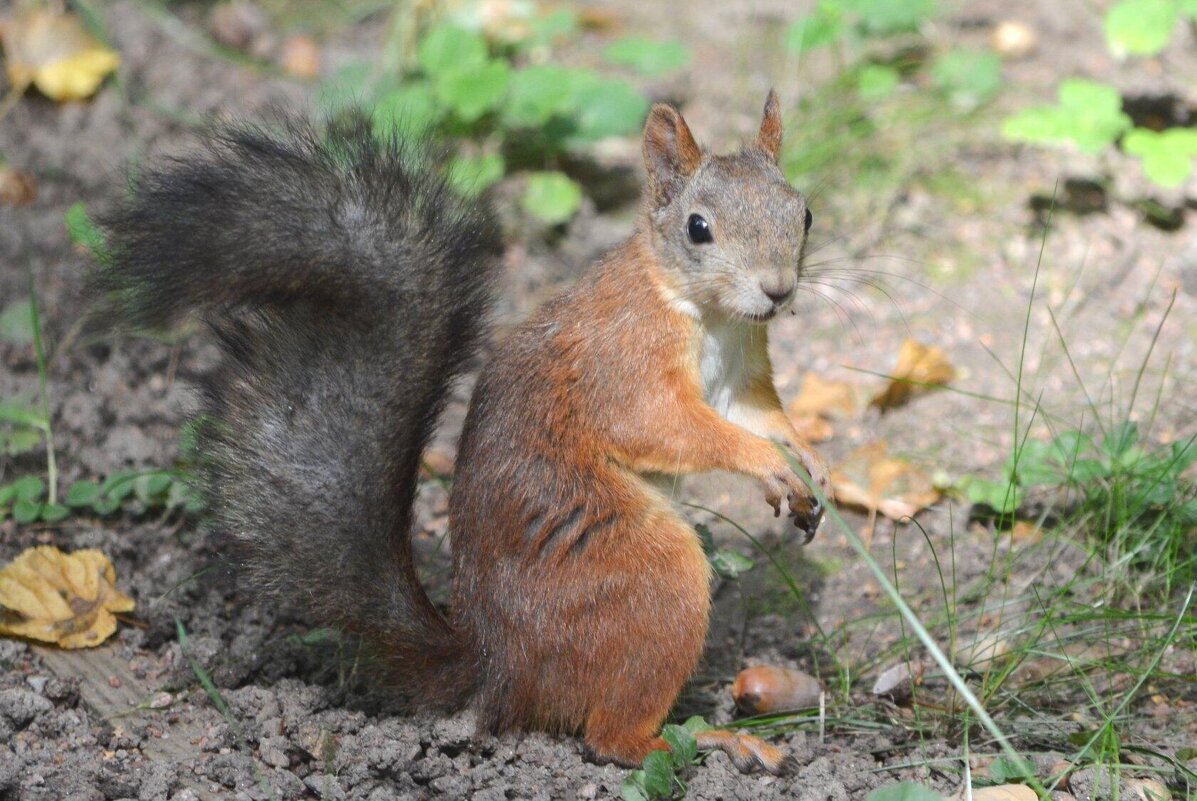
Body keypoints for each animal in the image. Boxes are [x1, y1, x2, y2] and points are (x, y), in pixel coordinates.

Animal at [98, 90, 833, 771]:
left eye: (803, 212)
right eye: (697, 228)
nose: (777, 290)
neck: (708, 313)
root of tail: (496, 668)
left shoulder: (743, 371)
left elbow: (760, 414)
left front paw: (809, 462)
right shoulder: (624, 364)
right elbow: (666, 425)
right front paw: (765, 463)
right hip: (648, 578)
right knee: (609, 739)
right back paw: (708, 740)